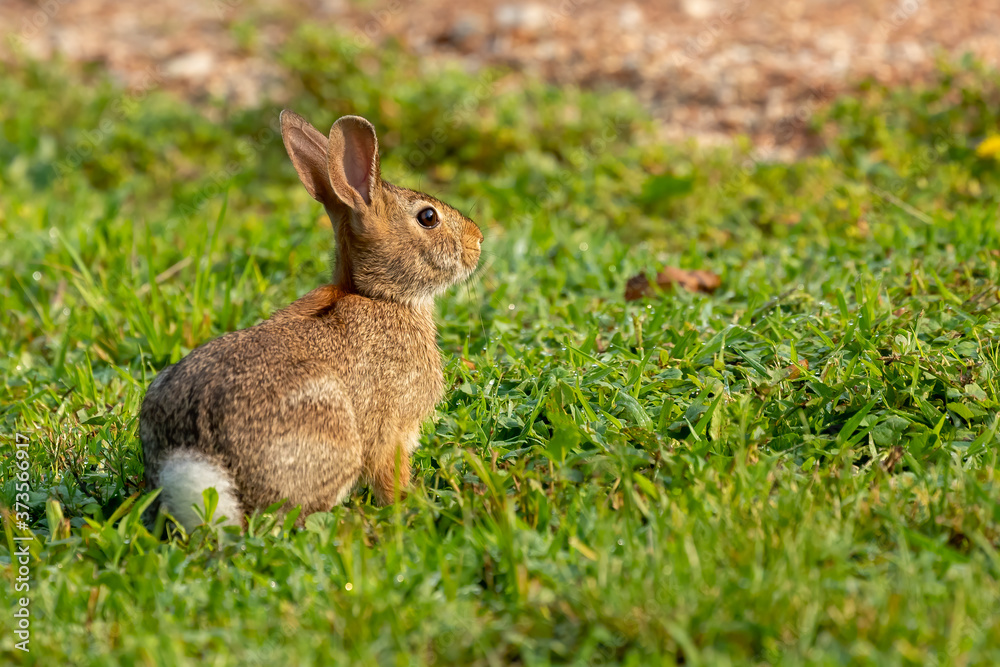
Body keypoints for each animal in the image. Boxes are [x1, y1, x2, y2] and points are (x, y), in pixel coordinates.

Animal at [140, 110, 483, 531]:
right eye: (428, 217)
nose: (478, 241)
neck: (380, 295)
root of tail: (194, 463)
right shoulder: (392, 429)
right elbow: (390, 473)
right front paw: (409, 504)